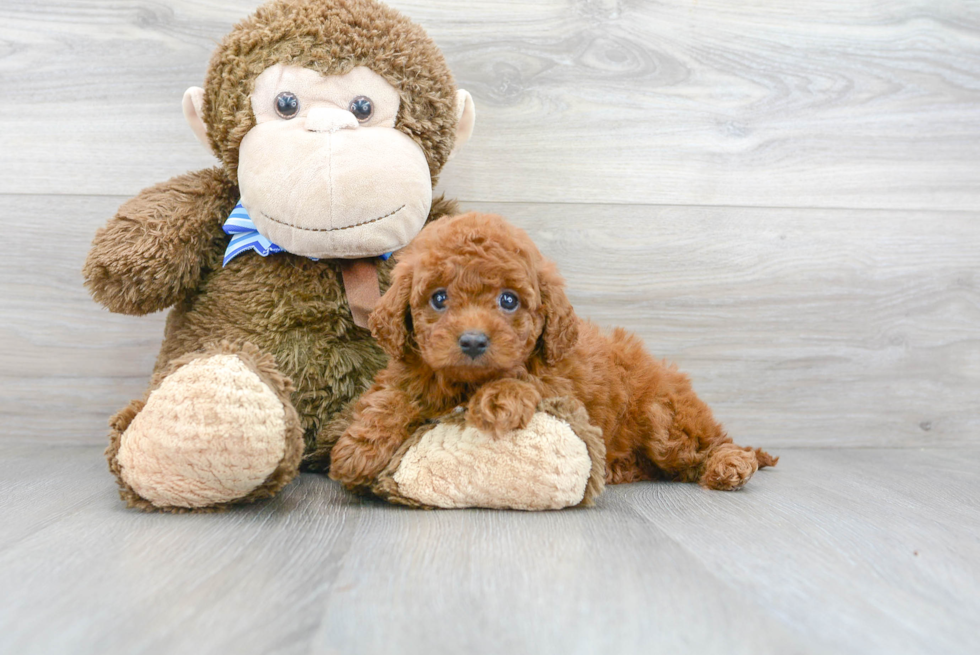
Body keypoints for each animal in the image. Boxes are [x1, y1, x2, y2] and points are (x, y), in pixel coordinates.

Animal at [334, 213, 776, 494]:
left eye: (508, 300)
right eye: (439, 299)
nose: (473, 341)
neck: (463, 383)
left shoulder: (562, 387)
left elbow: (524, 382)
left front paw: (499, 400)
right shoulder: (411, 372)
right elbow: (388, 399)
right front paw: (359, 449)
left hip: (665, 419)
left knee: (712, 446)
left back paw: (729, 465)